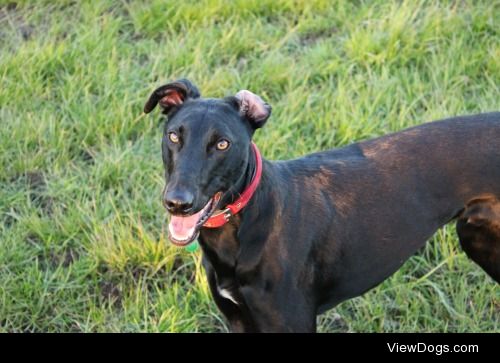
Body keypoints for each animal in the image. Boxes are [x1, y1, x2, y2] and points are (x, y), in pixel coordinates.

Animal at [145, 79, 500, 332]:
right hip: (480, 240)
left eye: (222, 144)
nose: (177, 203)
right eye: (174, 136)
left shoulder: (291, 324)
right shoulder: (238, 320)